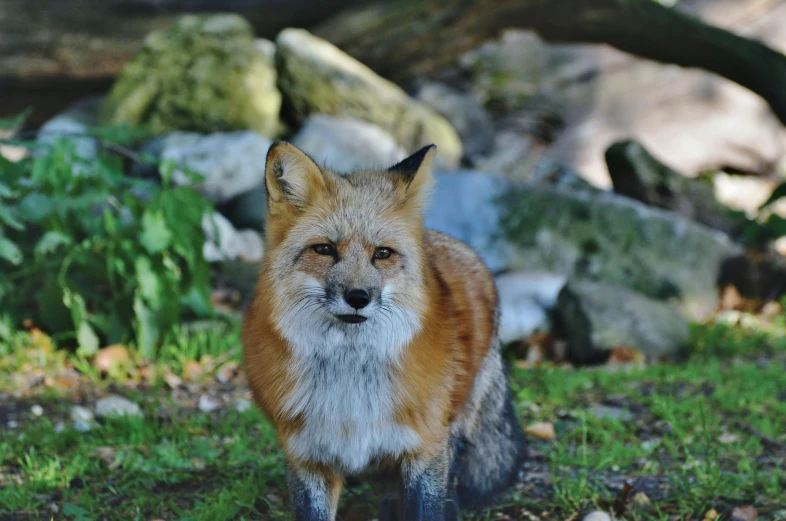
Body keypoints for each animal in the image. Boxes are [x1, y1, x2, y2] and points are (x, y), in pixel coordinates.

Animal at [242, 142, 524, 520]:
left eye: (382, 254)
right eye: (324, 249)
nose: (358, 297)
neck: (349, 388)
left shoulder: (425, 449)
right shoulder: (307, 456)